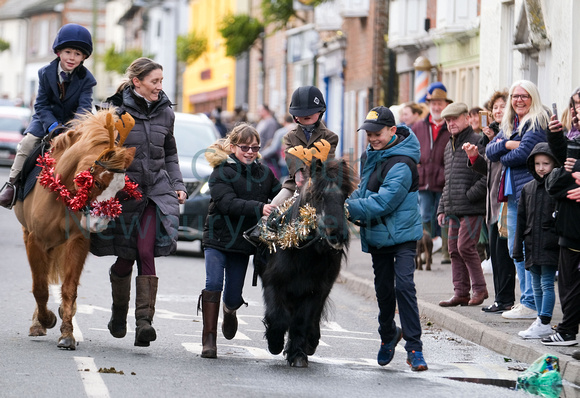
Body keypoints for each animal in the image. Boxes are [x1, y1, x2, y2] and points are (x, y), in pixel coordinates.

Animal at [14, 109, 137, 348]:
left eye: (120, 189)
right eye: (97, 183)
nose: (100, 224)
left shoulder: (77, 241)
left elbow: (69, 288)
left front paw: (67, 333)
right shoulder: (36, 240)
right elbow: (40, 287)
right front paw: (46, 319)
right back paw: (38, 323)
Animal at [260, 158, 356, 366]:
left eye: (344, 196)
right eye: (318, 195)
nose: (338, 236)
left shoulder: (315, 291)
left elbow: (302, 321)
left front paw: (297, 354)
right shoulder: (273, 283)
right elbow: (278, 317)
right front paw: (275, 343)